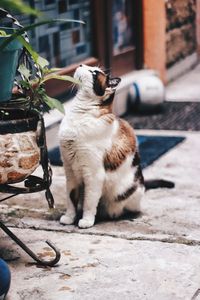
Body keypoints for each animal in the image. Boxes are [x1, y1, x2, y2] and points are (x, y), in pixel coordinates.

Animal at [58, 63, 173, 227]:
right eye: (89, 66)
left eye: (94, 73)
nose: (81, 64)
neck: (79, 115)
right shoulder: (69, 170)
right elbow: (70, 199)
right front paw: (69, 218)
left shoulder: (93, 175)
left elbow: (88, 202)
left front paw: (86, 221)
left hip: (128, 194)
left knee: (129, 208)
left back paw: (112, 214)